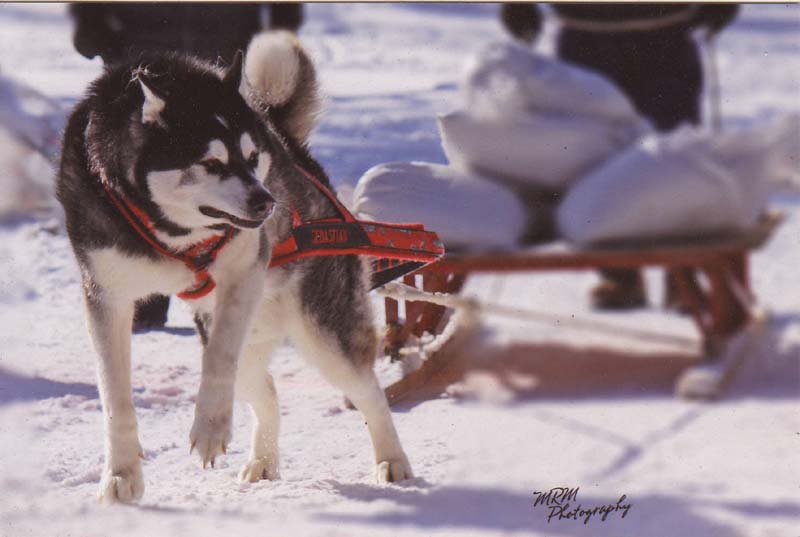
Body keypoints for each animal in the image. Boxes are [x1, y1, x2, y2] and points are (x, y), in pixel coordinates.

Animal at [57, 32, 412, 502]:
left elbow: (220, 357)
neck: (170, 233)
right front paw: (120, 473)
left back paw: (392, 460)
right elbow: (115, 396)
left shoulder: (244, 269)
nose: (267, 201)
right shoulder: (107, 295)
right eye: (211, 163)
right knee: (268, 391)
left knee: (369, 392)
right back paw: (263, 459)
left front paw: (209, 426)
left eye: (252, 156)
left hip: (321, 331)